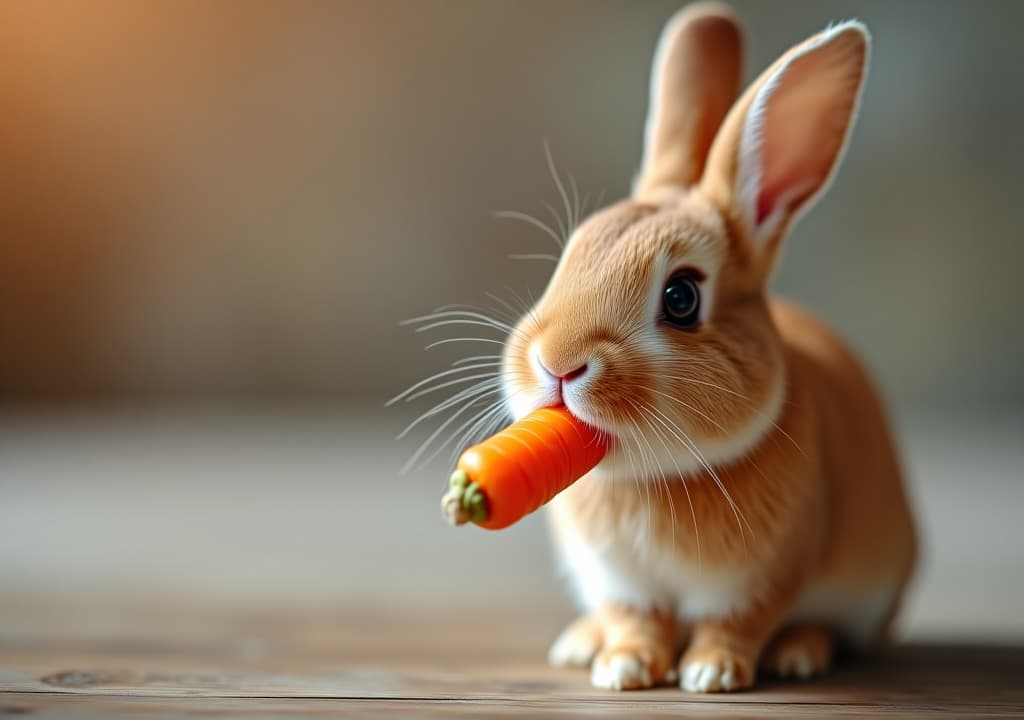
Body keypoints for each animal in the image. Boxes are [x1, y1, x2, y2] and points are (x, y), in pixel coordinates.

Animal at [499, 2, 917, 696]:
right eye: (571, 255)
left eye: (681, 298)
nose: (555, 363)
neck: (654, 476)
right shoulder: (619, 581)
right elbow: (635, 620)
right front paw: (623, 667)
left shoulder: (761, 578)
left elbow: (736, 624)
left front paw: (711, 674)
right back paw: (582, 643)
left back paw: (799, 653)